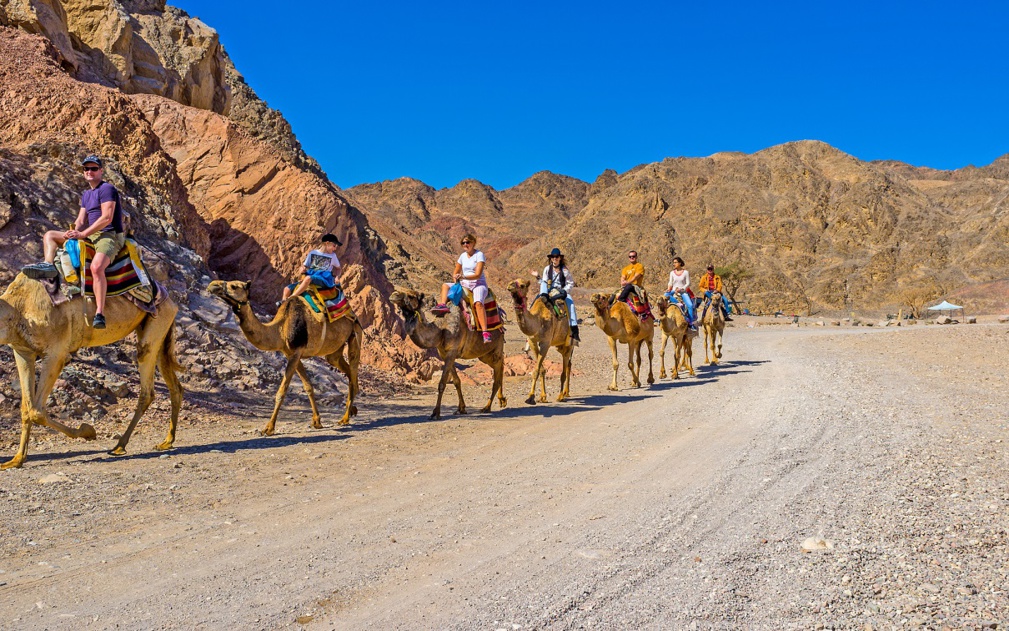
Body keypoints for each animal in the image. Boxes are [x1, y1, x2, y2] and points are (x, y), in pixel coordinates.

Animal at [0, 272, 183, 464]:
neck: (19, 306)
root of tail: (171, 300)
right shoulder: (23, 352)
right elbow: (26, 407)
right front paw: (17, 459)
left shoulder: (56, 354)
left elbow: (37, 411)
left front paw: (88, 431)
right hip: (158, 331)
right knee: (175, 386)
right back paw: (167, 441)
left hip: (157, 323)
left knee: (147, 388)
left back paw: (119, 446)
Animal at [206, 280, 361, 432]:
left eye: (234, 286)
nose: (212, 285)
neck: (281, 328)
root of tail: (352, 313)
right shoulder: (291, 353)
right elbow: (308, 386)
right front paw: (316, 421)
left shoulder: (297, 351)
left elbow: (282, 391)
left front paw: (269, 428)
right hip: (335, 349)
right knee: (344, 369)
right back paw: (352, 409)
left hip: (354, 334)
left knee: (353, 369)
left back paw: (345, 418)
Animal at [385, 288, 504, 417]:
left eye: (411, 296)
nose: (394, 294)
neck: (441, 329)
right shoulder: (444, 354)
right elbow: (457, 381)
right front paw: (461, 408)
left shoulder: (452, 351)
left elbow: (442, 383)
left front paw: (436, 412)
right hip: (484, 355)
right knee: (500, 367)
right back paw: (502, 400)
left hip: (497, 347)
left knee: (498, 374)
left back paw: (487, 407)